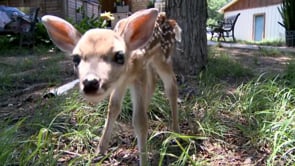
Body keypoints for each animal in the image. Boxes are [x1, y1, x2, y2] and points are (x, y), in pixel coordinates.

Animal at [40, 8, 182, 165]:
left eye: (119, 56)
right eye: (75, 58)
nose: (90, 82)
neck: (128, 70)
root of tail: (169, 20)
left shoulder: (138, 75)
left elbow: (140, 121)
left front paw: (143, 160)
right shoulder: (119, 83)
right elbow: (113, 108)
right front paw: (100, 151)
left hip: (163, 57)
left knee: (171, 86)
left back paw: (176, 134)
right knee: (153, 82)